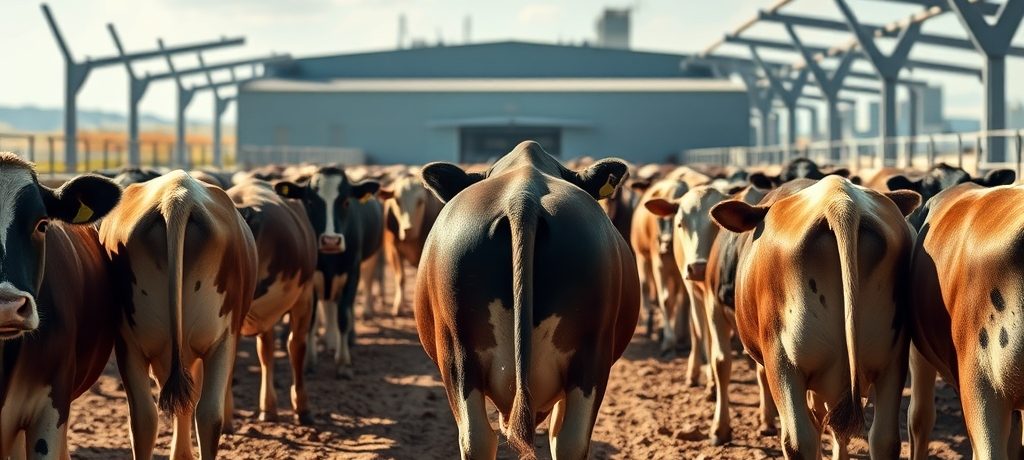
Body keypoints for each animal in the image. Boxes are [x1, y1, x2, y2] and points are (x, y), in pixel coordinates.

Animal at [274, 166, 382, 379]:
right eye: (310, 202)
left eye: (346, 202)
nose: (331, 241)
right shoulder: (311, 278)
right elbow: (312, 319)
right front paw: (309, 361)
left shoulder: (352, 273)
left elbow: (343, 317)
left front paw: (343, 363)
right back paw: (329, 340)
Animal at [378, 173, 443, 316]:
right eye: (397, 201)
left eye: (420, 201)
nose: (408, 229)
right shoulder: (393, 250)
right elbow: (401, 278)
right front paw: (398, 306)